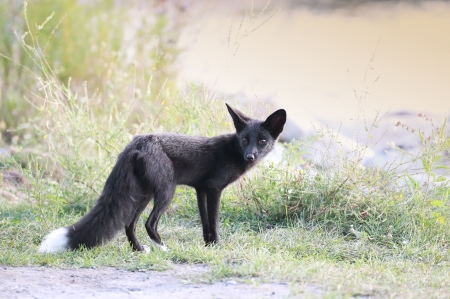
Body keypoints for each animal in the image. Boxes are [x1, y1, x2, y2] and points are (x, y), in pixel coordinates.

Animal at [37, 104, 284, 254]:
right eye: (245, 140)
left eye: (262, 141)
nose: (250, 156)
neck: (232, 151)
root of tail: (137, 143)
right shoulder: (214, 189)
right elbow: (214, 221)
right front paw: (216, 246)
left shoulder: (201, 189)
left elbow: (205, 223)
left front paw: (207, 245)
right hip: (166, 191)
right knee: (149, 223)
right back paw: (163, 249)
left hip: (144, 195)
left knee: (129, 224)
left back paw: (139, 250)